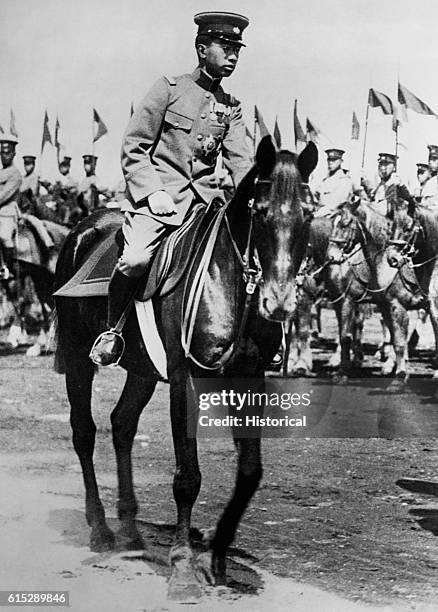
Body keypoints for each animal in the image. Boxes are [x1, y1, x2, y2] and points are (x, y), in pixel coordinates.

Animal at [53, 137, 316, 596]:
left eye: (309, 215)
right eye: (261, 211)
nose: (279, 303)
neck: (232, 284)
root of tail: (83, 228)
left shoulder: (249, 381)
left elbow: (250, 472)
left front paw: (218, 558)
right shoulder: (184, 379)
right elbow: (187, 477)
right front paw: (181, 565)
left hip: (141, 369)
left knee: (122, 424)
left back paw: (131, 530)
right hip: (76, 357)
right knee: (83, 432)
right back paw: (101, 528)